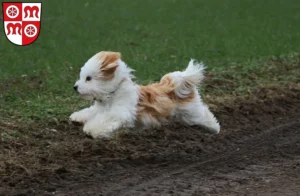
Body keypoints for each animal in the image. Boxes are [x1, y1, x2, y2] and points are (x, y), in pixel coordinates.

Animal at [69, 51, 220, 139]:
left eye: (88, 78)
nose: (75, 87)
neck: (112, 95)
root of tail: (175, 83)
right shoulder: (99, 109)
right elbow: (90, 112)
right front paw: (77, 117)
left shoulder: (120, 112)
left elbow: (106, 119)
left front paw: (91, 129)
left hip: (191, 112)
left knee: (205, 114)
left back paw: (215, 128)